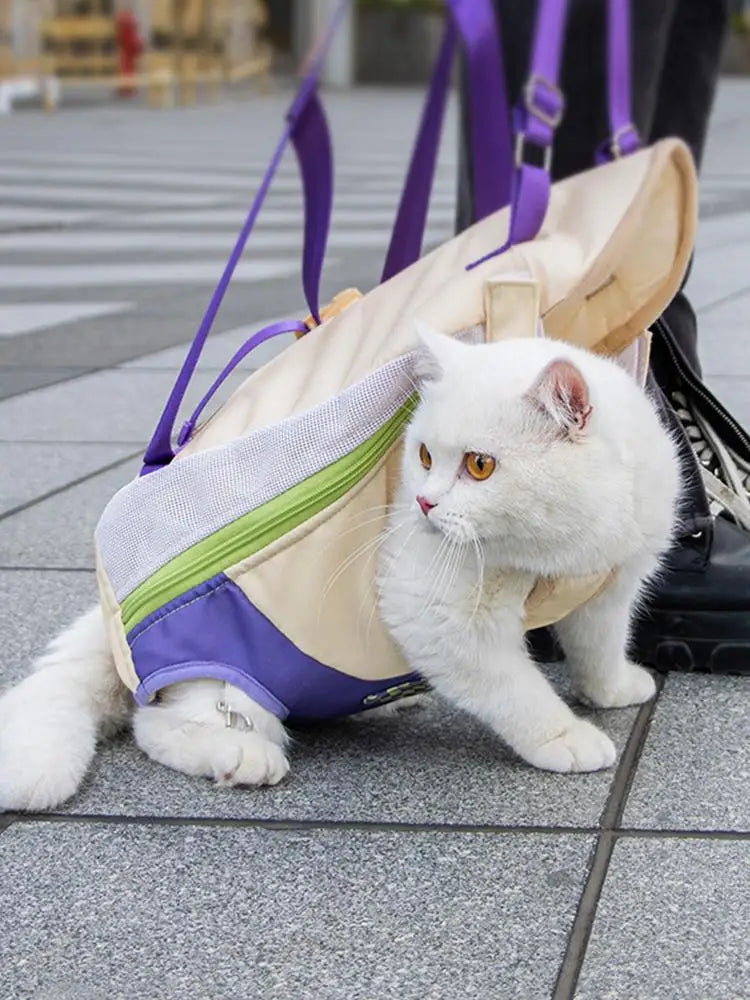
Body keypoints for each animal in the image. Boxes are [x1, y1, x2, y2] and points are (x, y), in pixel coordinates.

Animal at [0, 328, 680, 812]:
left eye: (480, 466)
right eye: (424, 455)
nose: (424, 503)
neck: (561, 549)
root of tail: (116, 621)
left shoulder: (611, 585)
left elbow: (599, 643)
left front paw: (610, 689)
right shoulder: (436, 616)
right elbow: (518, 691)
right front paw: (564, 738)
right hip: (228, 685)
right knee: (158, 724)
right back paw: (242, 755)